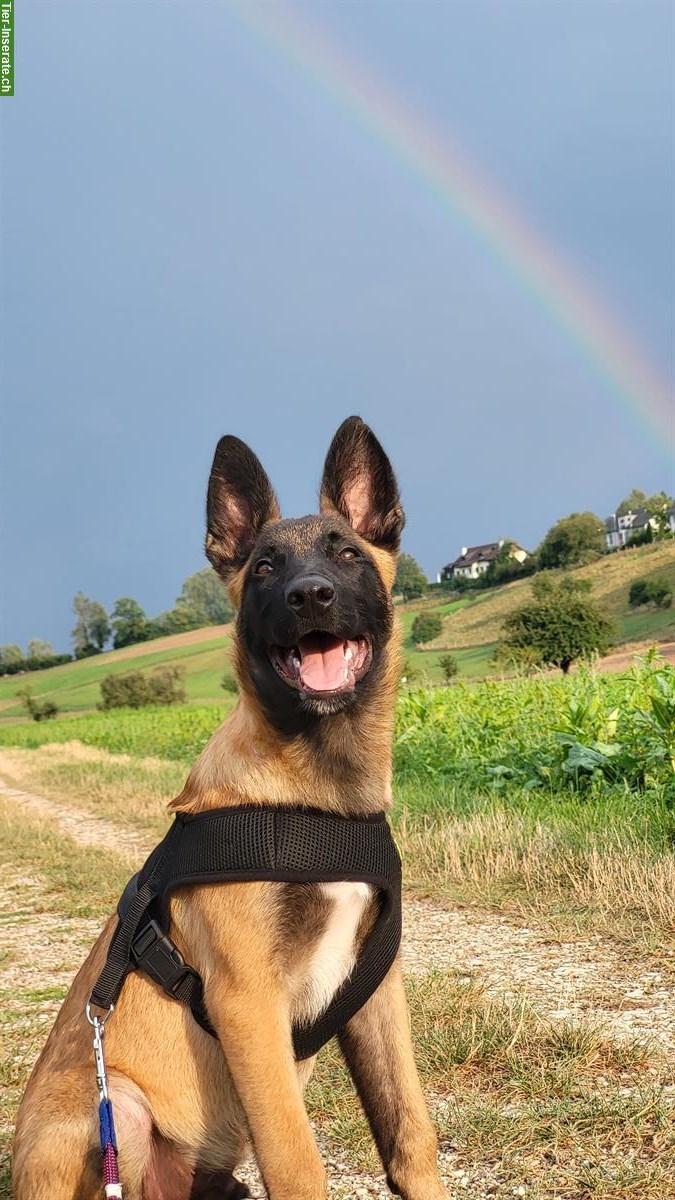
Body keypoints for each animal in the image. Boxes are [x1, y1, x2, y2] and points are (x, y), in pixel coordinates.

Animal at [11, 420, 446, 1200]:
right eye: (266, 567)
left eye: (346, 553)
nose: (310, 597)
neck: (315, 795)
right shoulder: (247, 1002)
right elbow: (298, 1164)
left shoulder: (375, 990)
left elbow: (408, 1133)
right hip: (113, 1107)